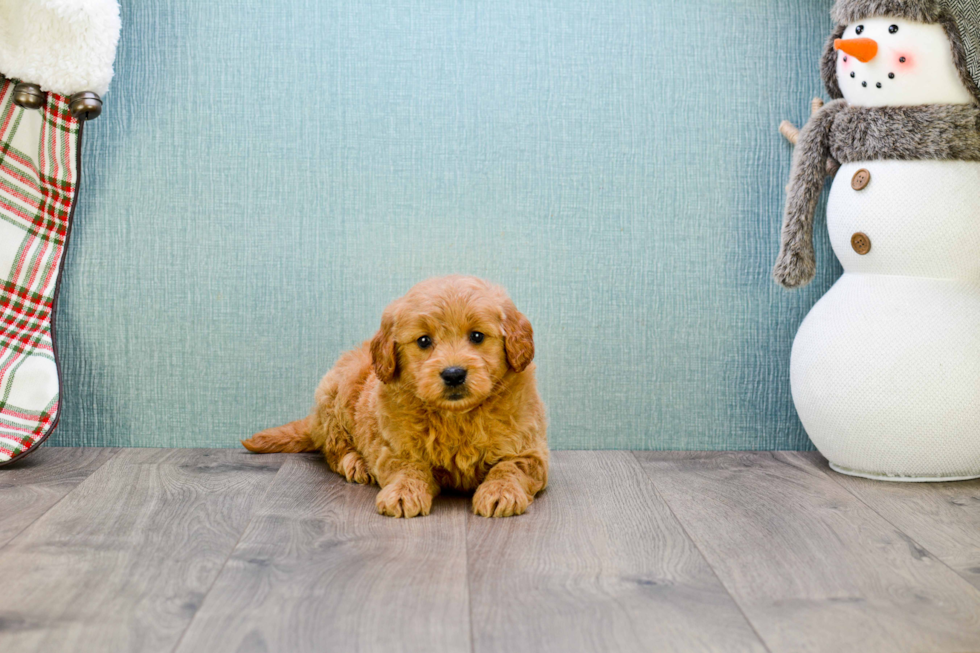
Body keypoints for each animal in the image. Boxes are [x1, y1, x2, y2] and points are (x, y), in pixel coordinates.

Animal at [241, 276, 548, 520]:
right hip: (333, 397)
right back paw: (356, 462)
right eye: (424, 341)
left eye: (477, 336)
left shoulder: (530, 450)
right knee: (333, 449)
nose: (453, 374)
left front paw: (501, 492)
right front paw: (403, 493)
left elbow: (510, 467)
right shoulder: (395, 449)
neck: (456, 416)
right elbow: (407, 468)